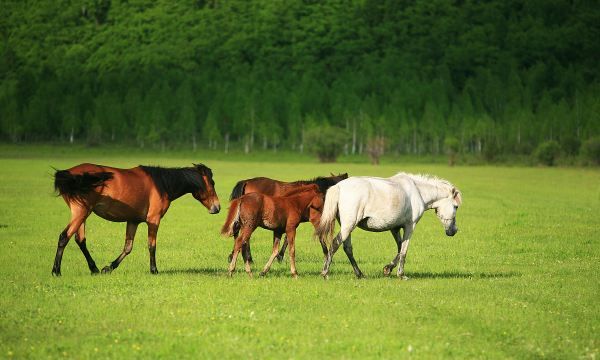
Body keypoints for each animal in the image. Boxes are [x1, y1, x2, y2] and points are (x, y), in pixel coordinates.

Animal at [52, 162, 220, 276]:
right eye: (212, 183)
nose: (217, 207)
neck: (162, 183)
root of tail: (70, 173)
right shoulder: (154, 220)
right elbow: (152, 245)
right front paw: (154, 270)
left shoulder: (133, 221)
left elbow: (128, 247)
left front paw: (109, 268)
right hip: (81, 213)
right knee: (64, 237)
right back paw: (56, 271)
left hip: (83, 214)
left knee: (80, 240)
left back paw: (94, 268)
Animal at [316, 173, 462, 280]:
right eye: (456, 206)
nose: (453, 231)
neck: (418, 191)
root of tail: (338, 187)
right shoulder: (410, 226)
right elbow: (404, 250)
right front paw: (401, 275)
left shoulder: (394, 228)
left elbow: (399, 248)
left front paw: (387, 269)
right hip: (348, 226)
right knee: (335, 244)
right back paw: (325, 273)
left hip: (347, 227)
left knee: (347, 249)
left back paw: (359, 274)